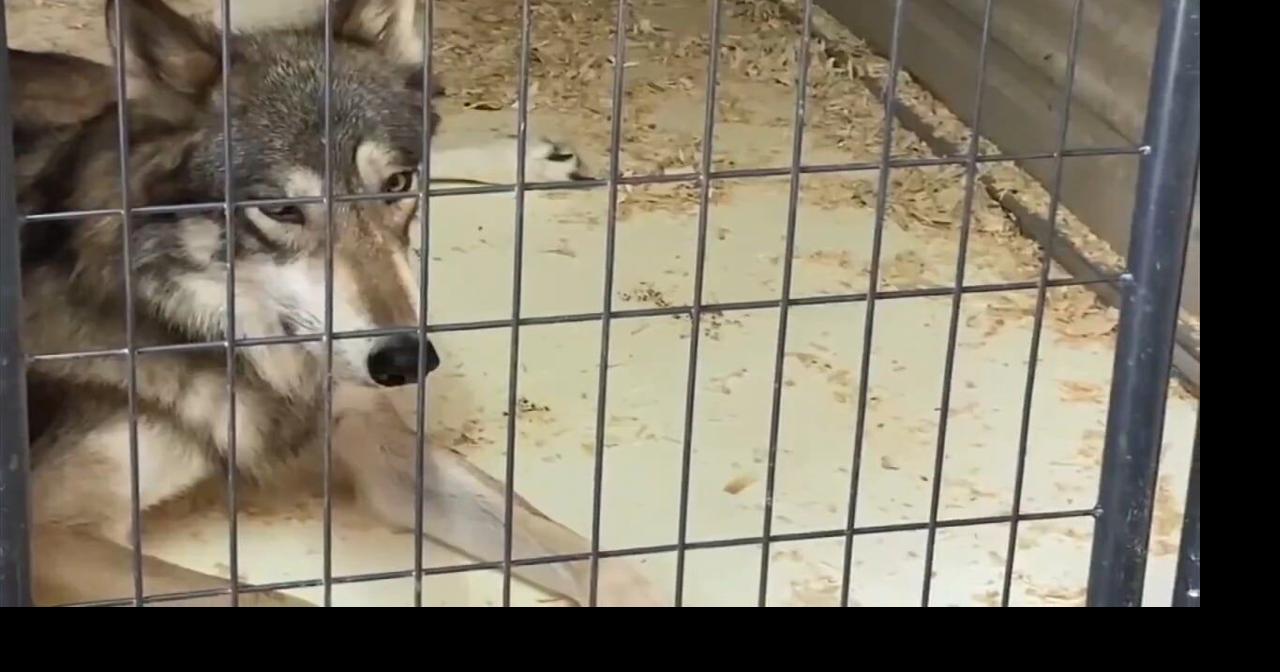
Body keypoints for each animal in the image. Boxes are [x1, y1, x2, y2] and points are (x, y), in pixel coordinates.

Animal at [12, 0, 661, 607]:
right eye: (280, 210)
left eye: (396, 185)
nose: (405, 361)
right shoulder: (48, 530)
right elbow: (265, 595)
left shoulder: (373, 439)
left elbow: (585, 553)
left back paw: (530, 157)